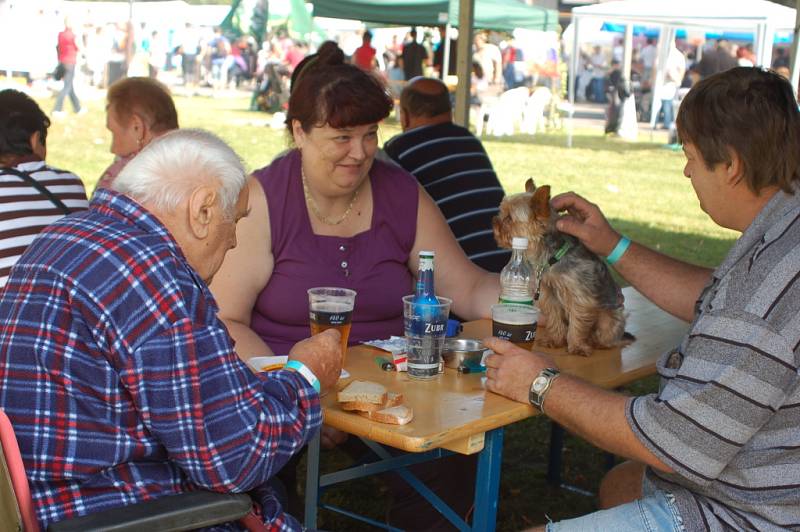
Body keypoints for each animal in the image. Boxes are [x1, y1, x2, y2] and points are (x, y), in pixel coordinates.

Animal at [490, 179, 628, 358]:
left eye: (508, 218)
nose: (493, 221)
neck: (552, 257)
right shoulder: (549, 295)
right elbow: (555, 318)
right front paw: (555, 340)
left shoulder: (580, 298)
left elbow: (578, 323)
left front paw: (577, 346)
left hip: (609, 318)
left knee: (607, 336)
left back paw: (596, 342)